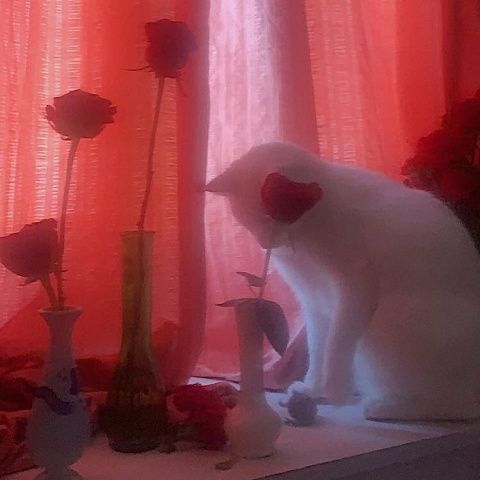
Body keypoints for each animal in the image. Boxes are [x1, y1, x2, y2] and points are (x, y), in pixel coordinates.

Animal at [205, 142, 480, 420]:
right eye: (249, 223)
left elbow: (336, 345)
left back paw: (383, 406)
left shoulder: (353, 287)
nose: (264, 244)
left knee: (456, 406)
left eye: (271, 219)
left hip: (390, 324)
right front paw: (314, 389)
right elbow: (317, 349)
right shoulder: (313, 300)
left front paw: (334, 391)